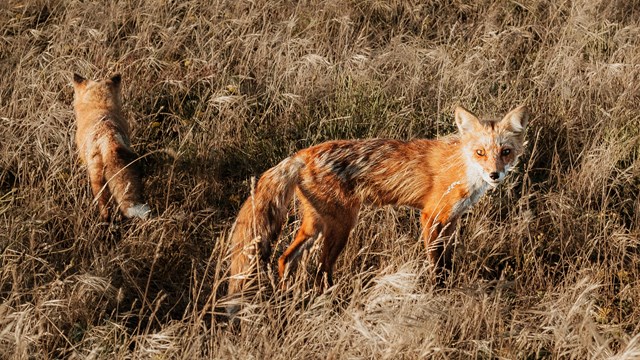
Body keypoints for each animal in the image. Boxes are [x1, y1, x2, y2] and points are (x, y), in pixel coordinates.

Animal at [228, 106, 528, 310]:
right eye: (480, 152)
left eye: (506, 152)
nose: (494, 175)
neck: (463, 167)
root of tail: (301, 154)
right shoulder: (431, 216)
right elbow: (436, 264)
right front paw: (437, 293)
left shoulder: (451, 220)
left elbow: (447, 261)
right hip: (341, 226)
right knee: (321, 270)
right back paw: (330, 301)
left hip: (316, 224)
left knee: (284, 258)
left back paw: (286, 297)